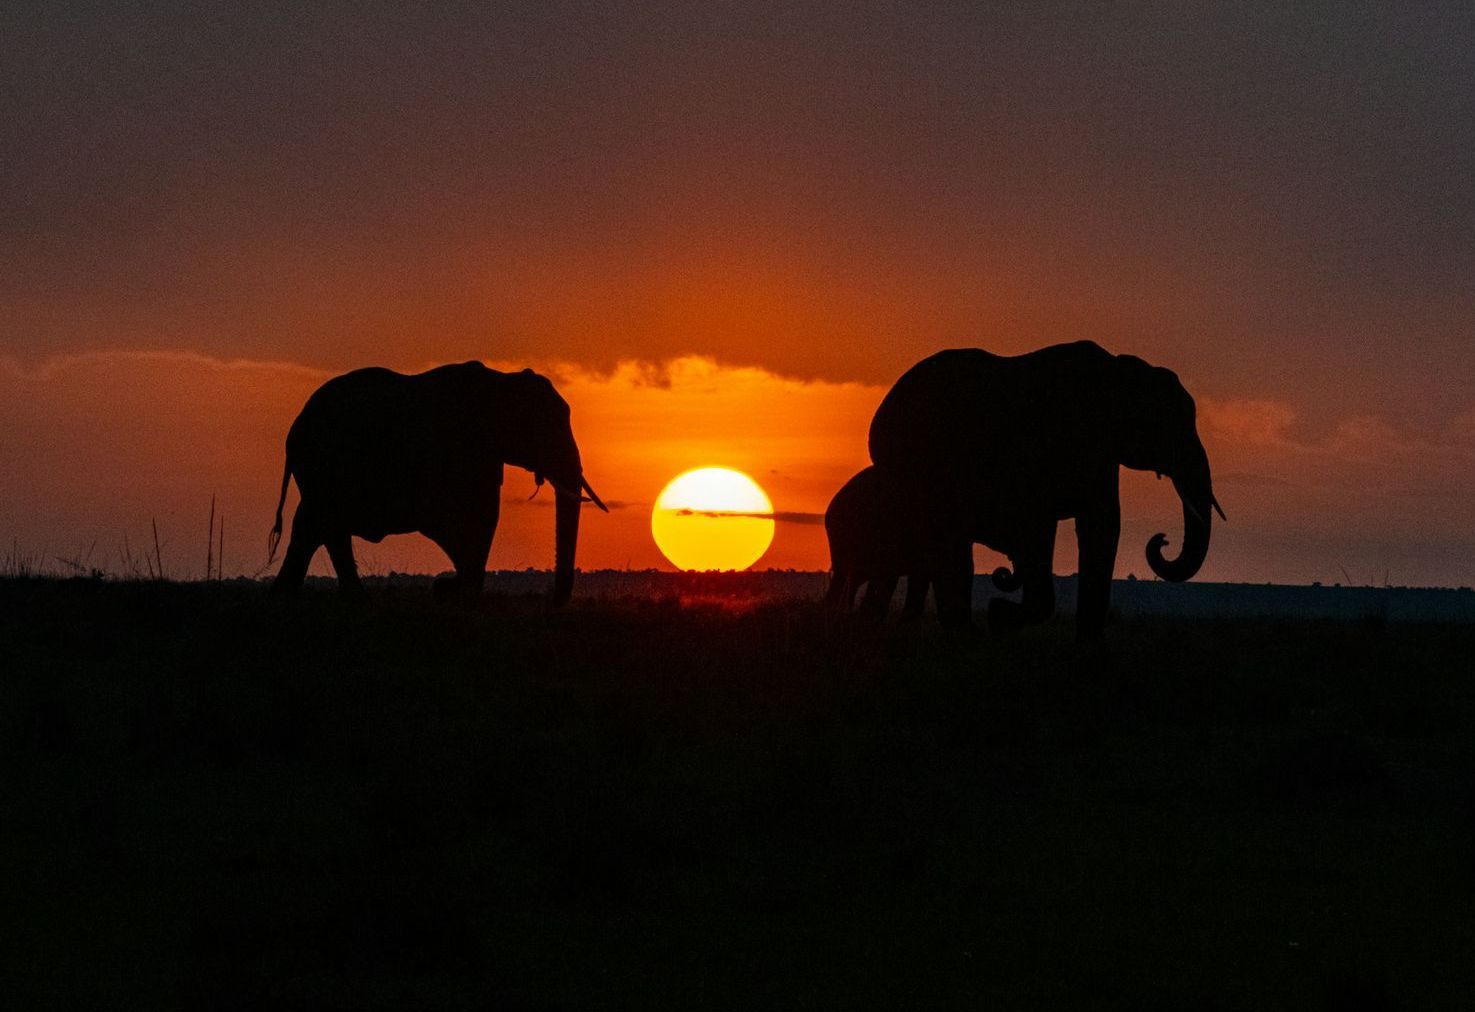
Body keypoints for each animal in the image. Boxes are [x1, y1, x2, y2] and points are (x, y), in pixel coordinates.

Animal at [267, 362, 607, 602]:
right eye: (545, 428)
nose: (553, 602)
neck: (501, 382)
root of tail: (296, 424)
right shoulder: (455, 450)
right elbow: (457, 519)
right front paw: (452, 589)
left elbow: (481, 515)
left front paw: (451, 589)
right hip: (322, 462)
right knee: (326, 524)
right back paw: (353, 600)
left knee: (311, 524)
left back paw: (288, 596)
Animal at [867, 341, 1223, 638]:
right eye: (1168, 426)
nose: (1161, 540)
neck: (1118, 372)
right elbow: (1040, 526)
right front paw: (999, 616)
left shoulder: (1099, 455)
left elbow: (1102, 524)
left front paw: (1088, 646)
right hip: (914, 469)